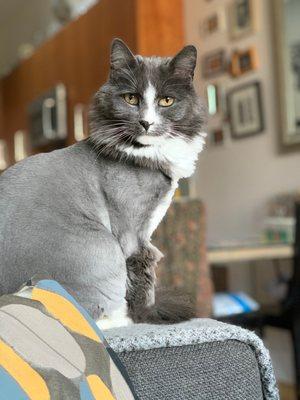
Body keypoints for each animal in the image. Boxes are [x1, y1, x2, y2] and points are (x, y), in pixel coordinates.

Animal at [0, 39, 206, 330]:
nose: (146, 122)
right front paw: (144, 316)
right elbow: (144, 279)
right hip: (104, 247)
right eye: (131, 98)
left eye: (166, 101)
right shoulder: (134, 234)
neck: (145, 155)